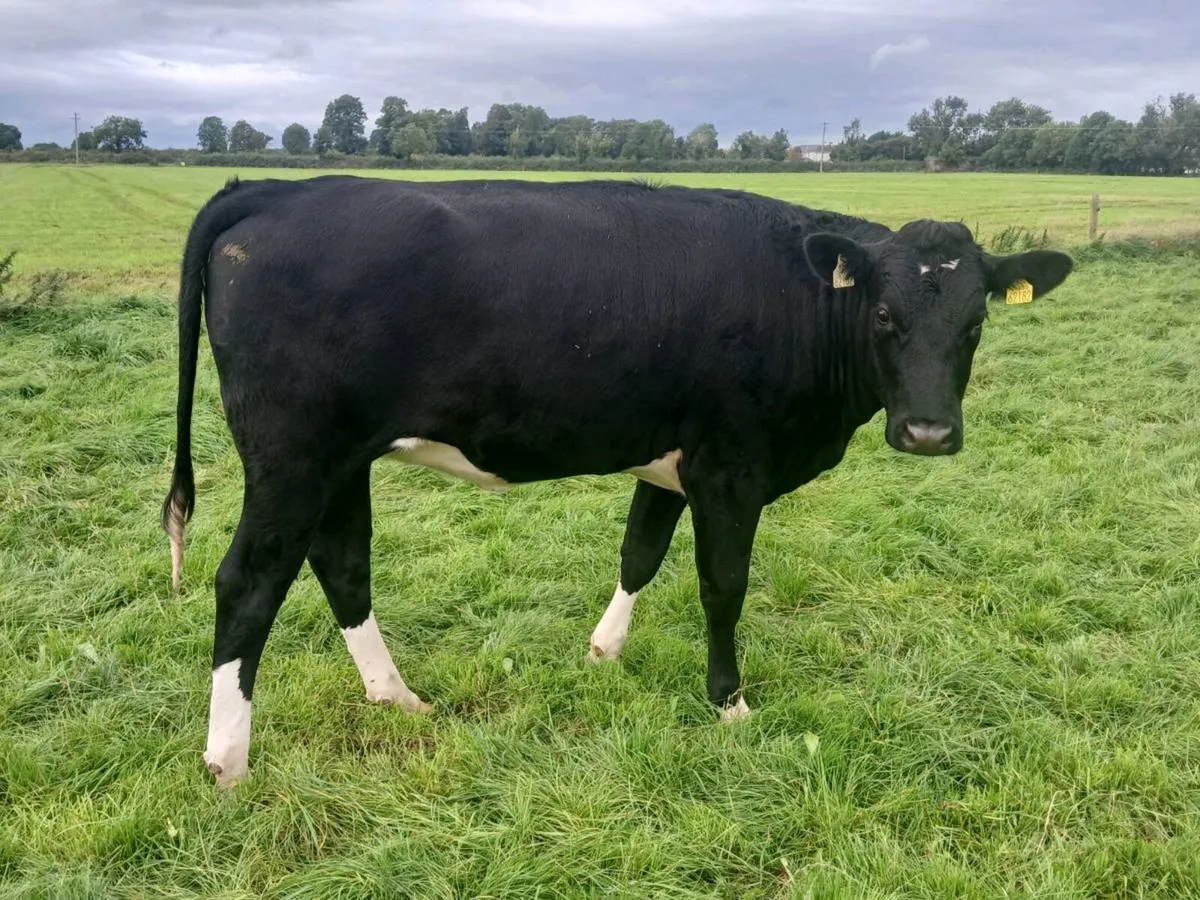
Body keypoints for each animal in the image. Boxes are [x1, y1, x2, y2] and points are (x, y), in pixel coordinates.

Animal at [161, 174, 1074, 787]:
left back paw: (397, 697)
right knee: (248, 584)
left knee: (342, 566)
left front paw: (604, 652)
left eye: (976, 321)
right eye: (884, 314)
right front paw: (729, 703)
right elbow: (722, 586)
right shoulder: (732, 465)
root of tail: (279, 189)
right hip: (291, 458)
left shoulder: (672, 461)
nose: (929, 432)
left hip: (342, 459)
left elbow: (640, 554)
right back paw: (228, 760)